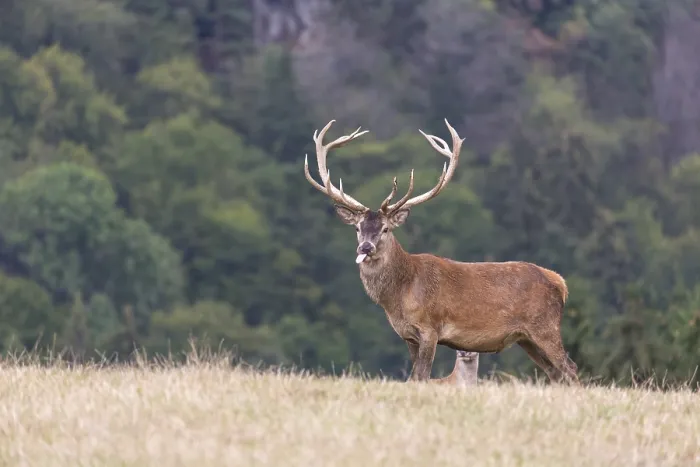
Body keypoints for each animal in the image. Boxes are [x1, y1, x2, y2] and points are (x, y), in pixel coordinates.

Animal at [303, 119, 579, 385]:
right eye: (358, 228)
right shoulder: (408, 335)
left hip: (545, 326)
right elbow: (414, 377)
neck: (399, 294)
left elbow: (422, 375)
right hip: (526, 338)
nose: (365, 247)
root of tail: (560, 282)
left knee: (570, 368)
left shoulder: (430, 328)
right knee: (555, 373)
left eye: (385, 228)